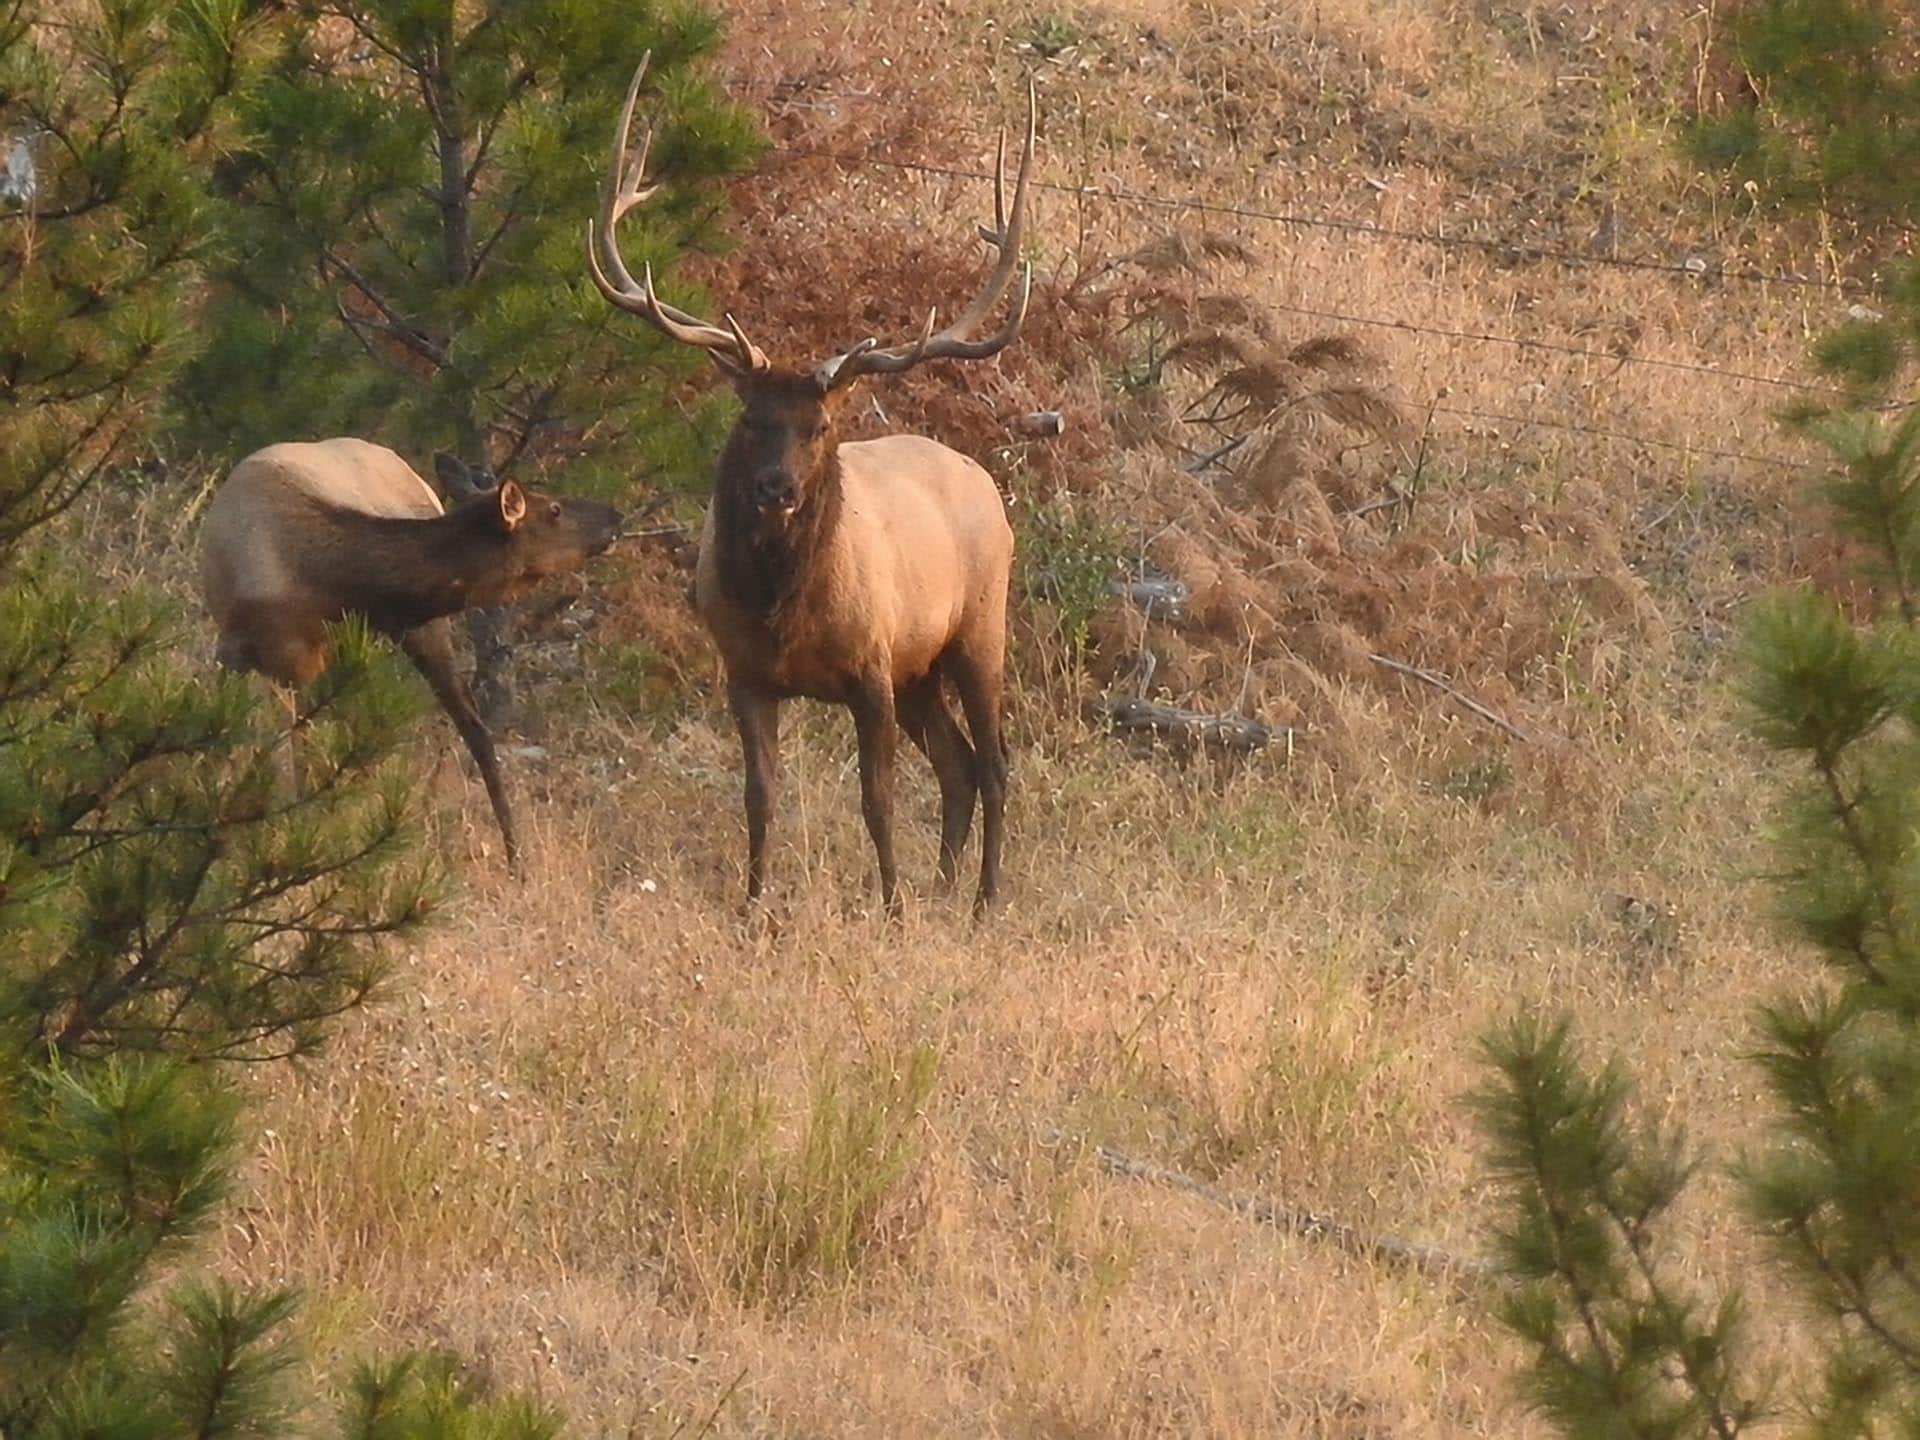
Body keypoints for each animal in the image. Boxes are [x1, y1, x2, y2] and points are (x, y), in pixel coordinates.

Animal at [197, 437, 623, 873]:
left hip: (411, 632)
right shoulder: (236, 651)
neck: (317, 582)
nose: (615, 514)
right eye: (554, 509)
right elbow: (233, 748)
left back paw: (514, 857)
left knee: (475, 731)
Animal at [587, 56, 1034, 918]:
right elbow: (760, 796)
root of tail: (990, 491)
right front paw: (753, 908)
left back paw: (984, 900)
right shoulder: (745, 674)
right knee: (959, 767)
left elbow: (877, 798)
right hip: (921, 667)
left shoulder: (870, 667)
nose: (775, 491)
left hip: (976, 627)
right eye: (750, 417)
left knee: (994, 764)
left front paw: (889, 908)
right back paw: (945, 889)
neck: (782, 613)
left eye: (819, 426)